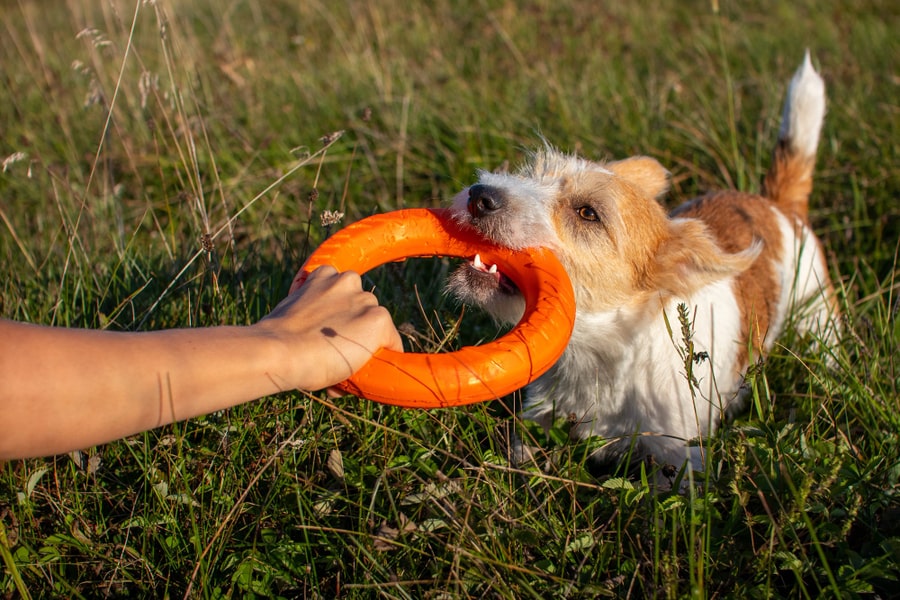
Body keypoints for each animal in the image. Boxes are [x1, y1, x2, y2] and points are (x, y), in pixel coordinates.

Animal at [446, 51, 840, 482]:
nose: (479, 195)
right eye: (527, 174)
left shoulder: (678, 460)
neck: (601, 354)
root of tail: (777, 204)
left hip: (821, 322)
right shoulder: (538, 422)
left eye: (588, 213)